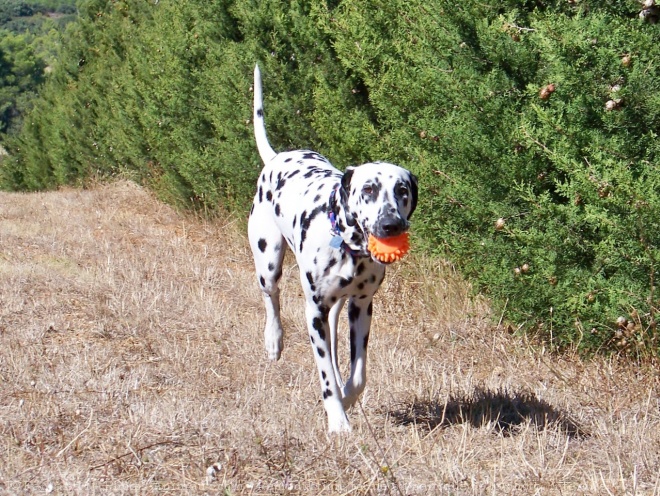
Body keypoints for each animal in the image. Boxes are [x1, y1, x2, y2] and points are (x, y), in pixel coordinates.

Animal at [248, 65, 418, 430]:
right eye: (368, 189)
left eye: (402, 190)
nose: (391, 225)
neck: (350, 249)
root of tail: (276, 158)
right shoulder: (313, 312)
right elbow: (324, 374)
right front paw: (338, 421)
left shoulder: (362, 307)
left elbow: (359, 374)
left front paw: (348, 397)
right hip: (268, 262)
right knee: (271, 298)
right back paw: (274, 340)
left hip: (338, 306)